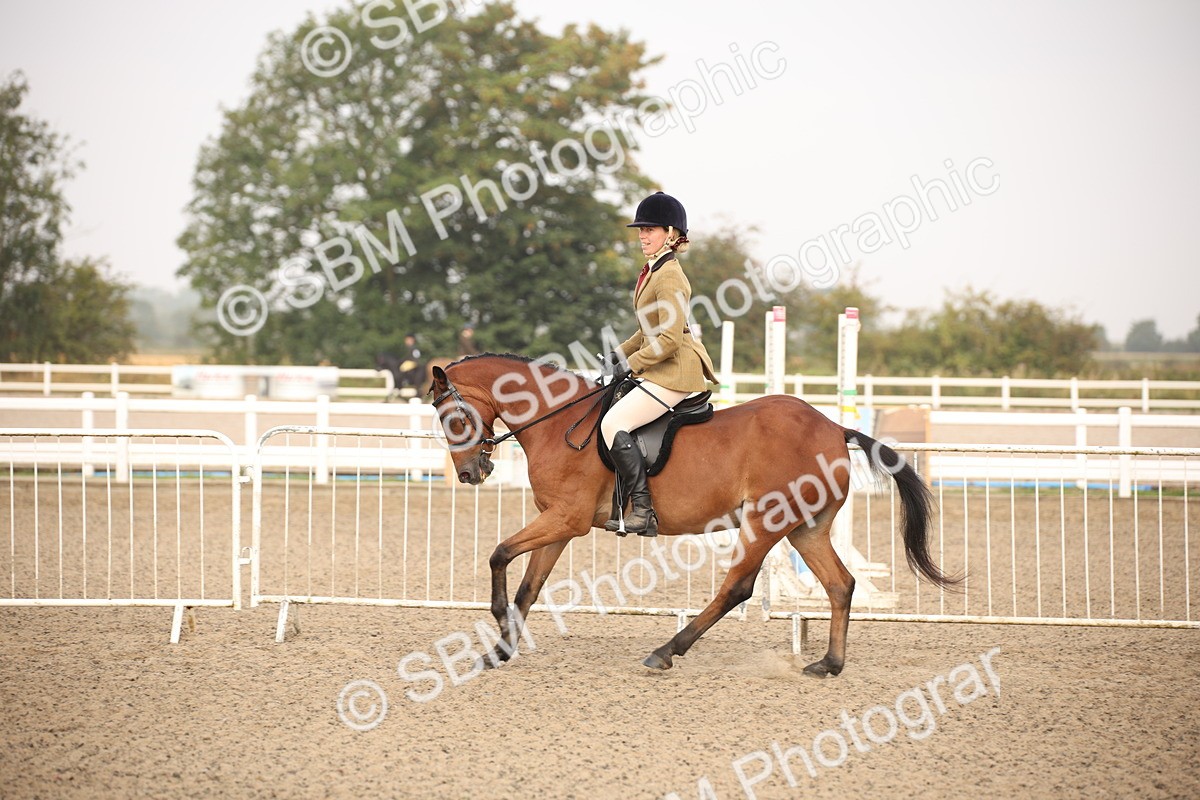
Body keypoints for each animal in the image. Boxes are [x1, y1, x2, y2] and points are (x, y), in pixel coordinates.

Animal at [430, 354, 959, 677]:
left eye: (452, 418)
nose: (471, 473)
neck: (558, 421)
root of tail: (831, 426)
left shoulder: (566, 520)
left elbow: (499, 554)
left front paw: (497, 622)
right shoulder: (558, 525)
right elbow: (529, 586)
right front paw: (500, 650)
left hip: (765, 521)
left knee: (738, 588)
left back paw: (666, 651)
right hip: (805, 529)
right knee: (840, 584)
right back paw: (828, 664)